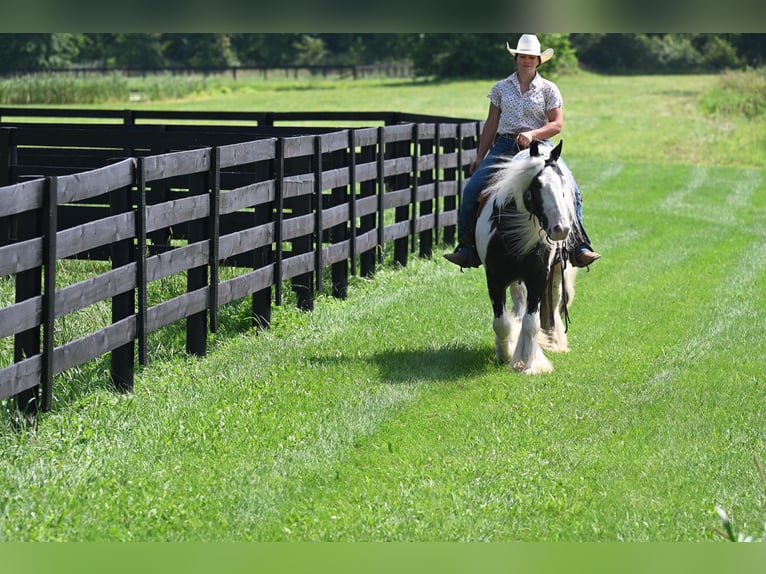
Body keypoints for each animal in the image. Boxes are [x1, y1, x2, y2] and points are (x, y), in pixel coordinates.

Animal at [476, 138, 580, 374]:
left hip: (557, 273)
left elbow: (531, 323)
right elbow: (501, 323)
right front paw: (505, 353)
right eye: (538, 186)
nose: (560, 229)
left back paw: (553, 340)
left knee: (551, 304)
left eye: (563, 184)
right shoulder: (494, 278)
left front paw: (531, 365)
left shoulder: (538, 277)